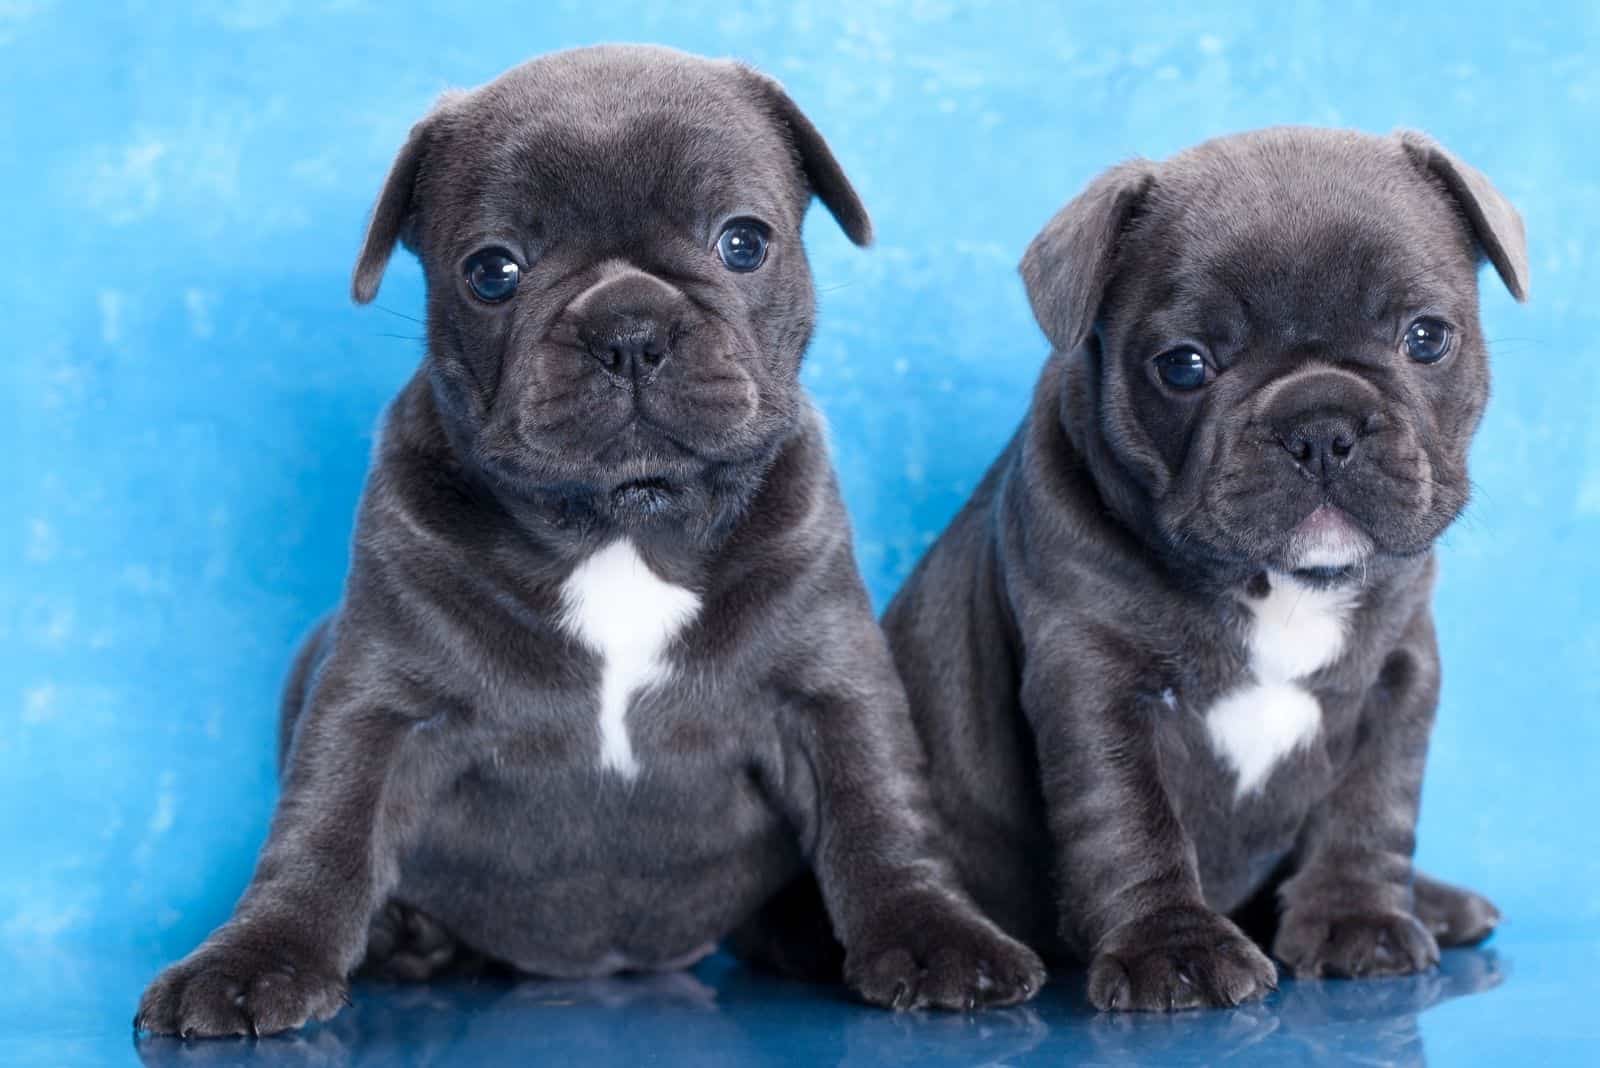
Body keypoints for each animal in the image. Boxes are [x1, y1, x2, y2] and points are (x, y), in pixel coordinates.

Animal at [134, 45, 1036, 1036]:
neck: (622, 526)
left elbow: (878, 806)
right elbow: (324, 823)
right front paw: (254, 959)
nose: (628, 328)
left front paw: (934, 933)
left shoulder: (827, 683)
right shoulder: (377, 699)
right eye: (493, 271)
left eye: (743, 243)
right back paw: (413, 941)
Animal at [889, 129, 1523, 1016]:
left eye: (1426, 337)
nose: (1320, 427)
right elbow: (1130, 817)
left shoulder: (1397, 673)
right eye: (1184, 365)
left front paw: (1359, 918)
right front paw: (1174, 949)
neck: (1276, 584)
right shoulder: (1094, 679)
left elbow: (1374, 801)